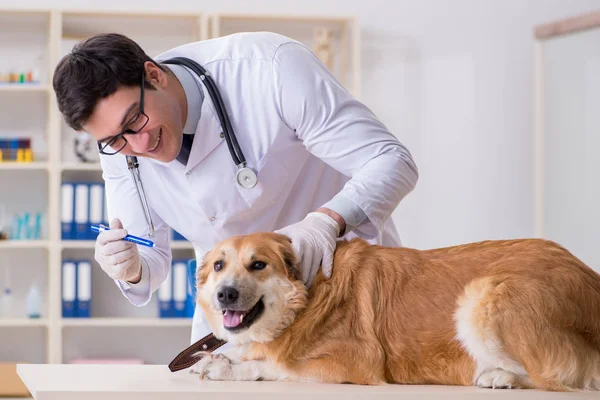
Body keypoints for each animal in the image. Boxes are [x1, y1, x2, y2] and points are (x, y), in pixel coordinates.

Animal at [191, 233, 600, 392]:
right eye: (219, 266)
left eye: (258, 264)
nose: (225, 294)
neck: (310, 294)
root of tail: (589, 280)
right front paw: (216, 358)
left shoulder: (357, 361)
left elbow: (280, 365)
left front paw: (229, 368)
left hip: (482, 294)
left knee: (555, 378)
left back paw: (499, 376)